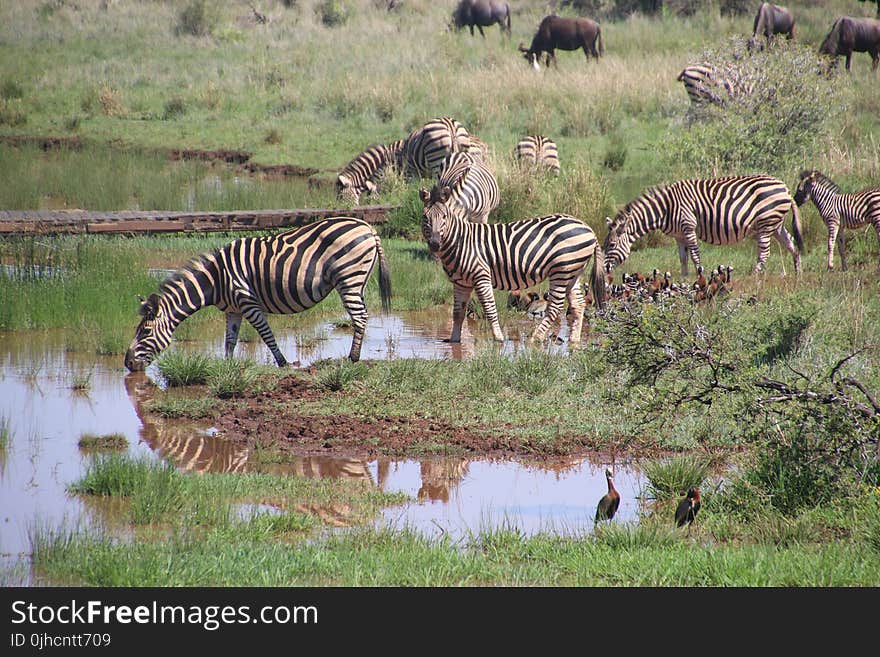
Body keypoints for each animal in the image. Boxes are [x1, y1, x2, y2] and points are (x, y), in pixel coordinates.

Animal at [122, 215, 390, 368]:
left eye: (145, 332)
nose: (127, 363)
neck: (216, 280)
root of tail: (367, 227)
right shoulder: (233, 310)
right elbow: (230, 340)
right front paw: (227, 366)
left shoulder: (247, 301)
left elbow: (266, 334)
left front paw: (282, 363)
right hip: (358, 280)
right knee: (362, 315)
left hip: (348, 277)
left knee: (360, 317)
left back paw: (352, 358)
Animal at [420, 187, 604, 346]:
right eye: (425, 218)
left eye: (444, 217)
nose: (435, 244)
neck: (460, 241)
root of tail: (589, 229)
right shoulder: (461, 282)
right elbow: (458, 313)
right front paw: (454, 340)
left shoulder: (481, 276)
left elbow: (489, 308)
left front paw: (498, 338)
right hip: (572, 271)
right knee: (578, 304)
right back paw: (574, 341)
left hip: (561, 270)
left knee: (555, 307)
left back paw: (535, 339)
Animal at [604, 173, 804, 276]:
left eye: (611, 245)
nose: (604, 269)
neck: (665, 208)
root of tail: (785, 188)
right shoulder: (678, 236)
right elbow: (683, 258)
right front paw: (684, 279)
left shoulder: (688, 227)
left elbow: (695, 255)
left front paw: (699, 277)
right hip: (776, 225)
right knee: (792, 244)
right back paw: (798, 276)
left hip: (766, 223)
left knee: (764, 253)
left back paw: (754, 277)